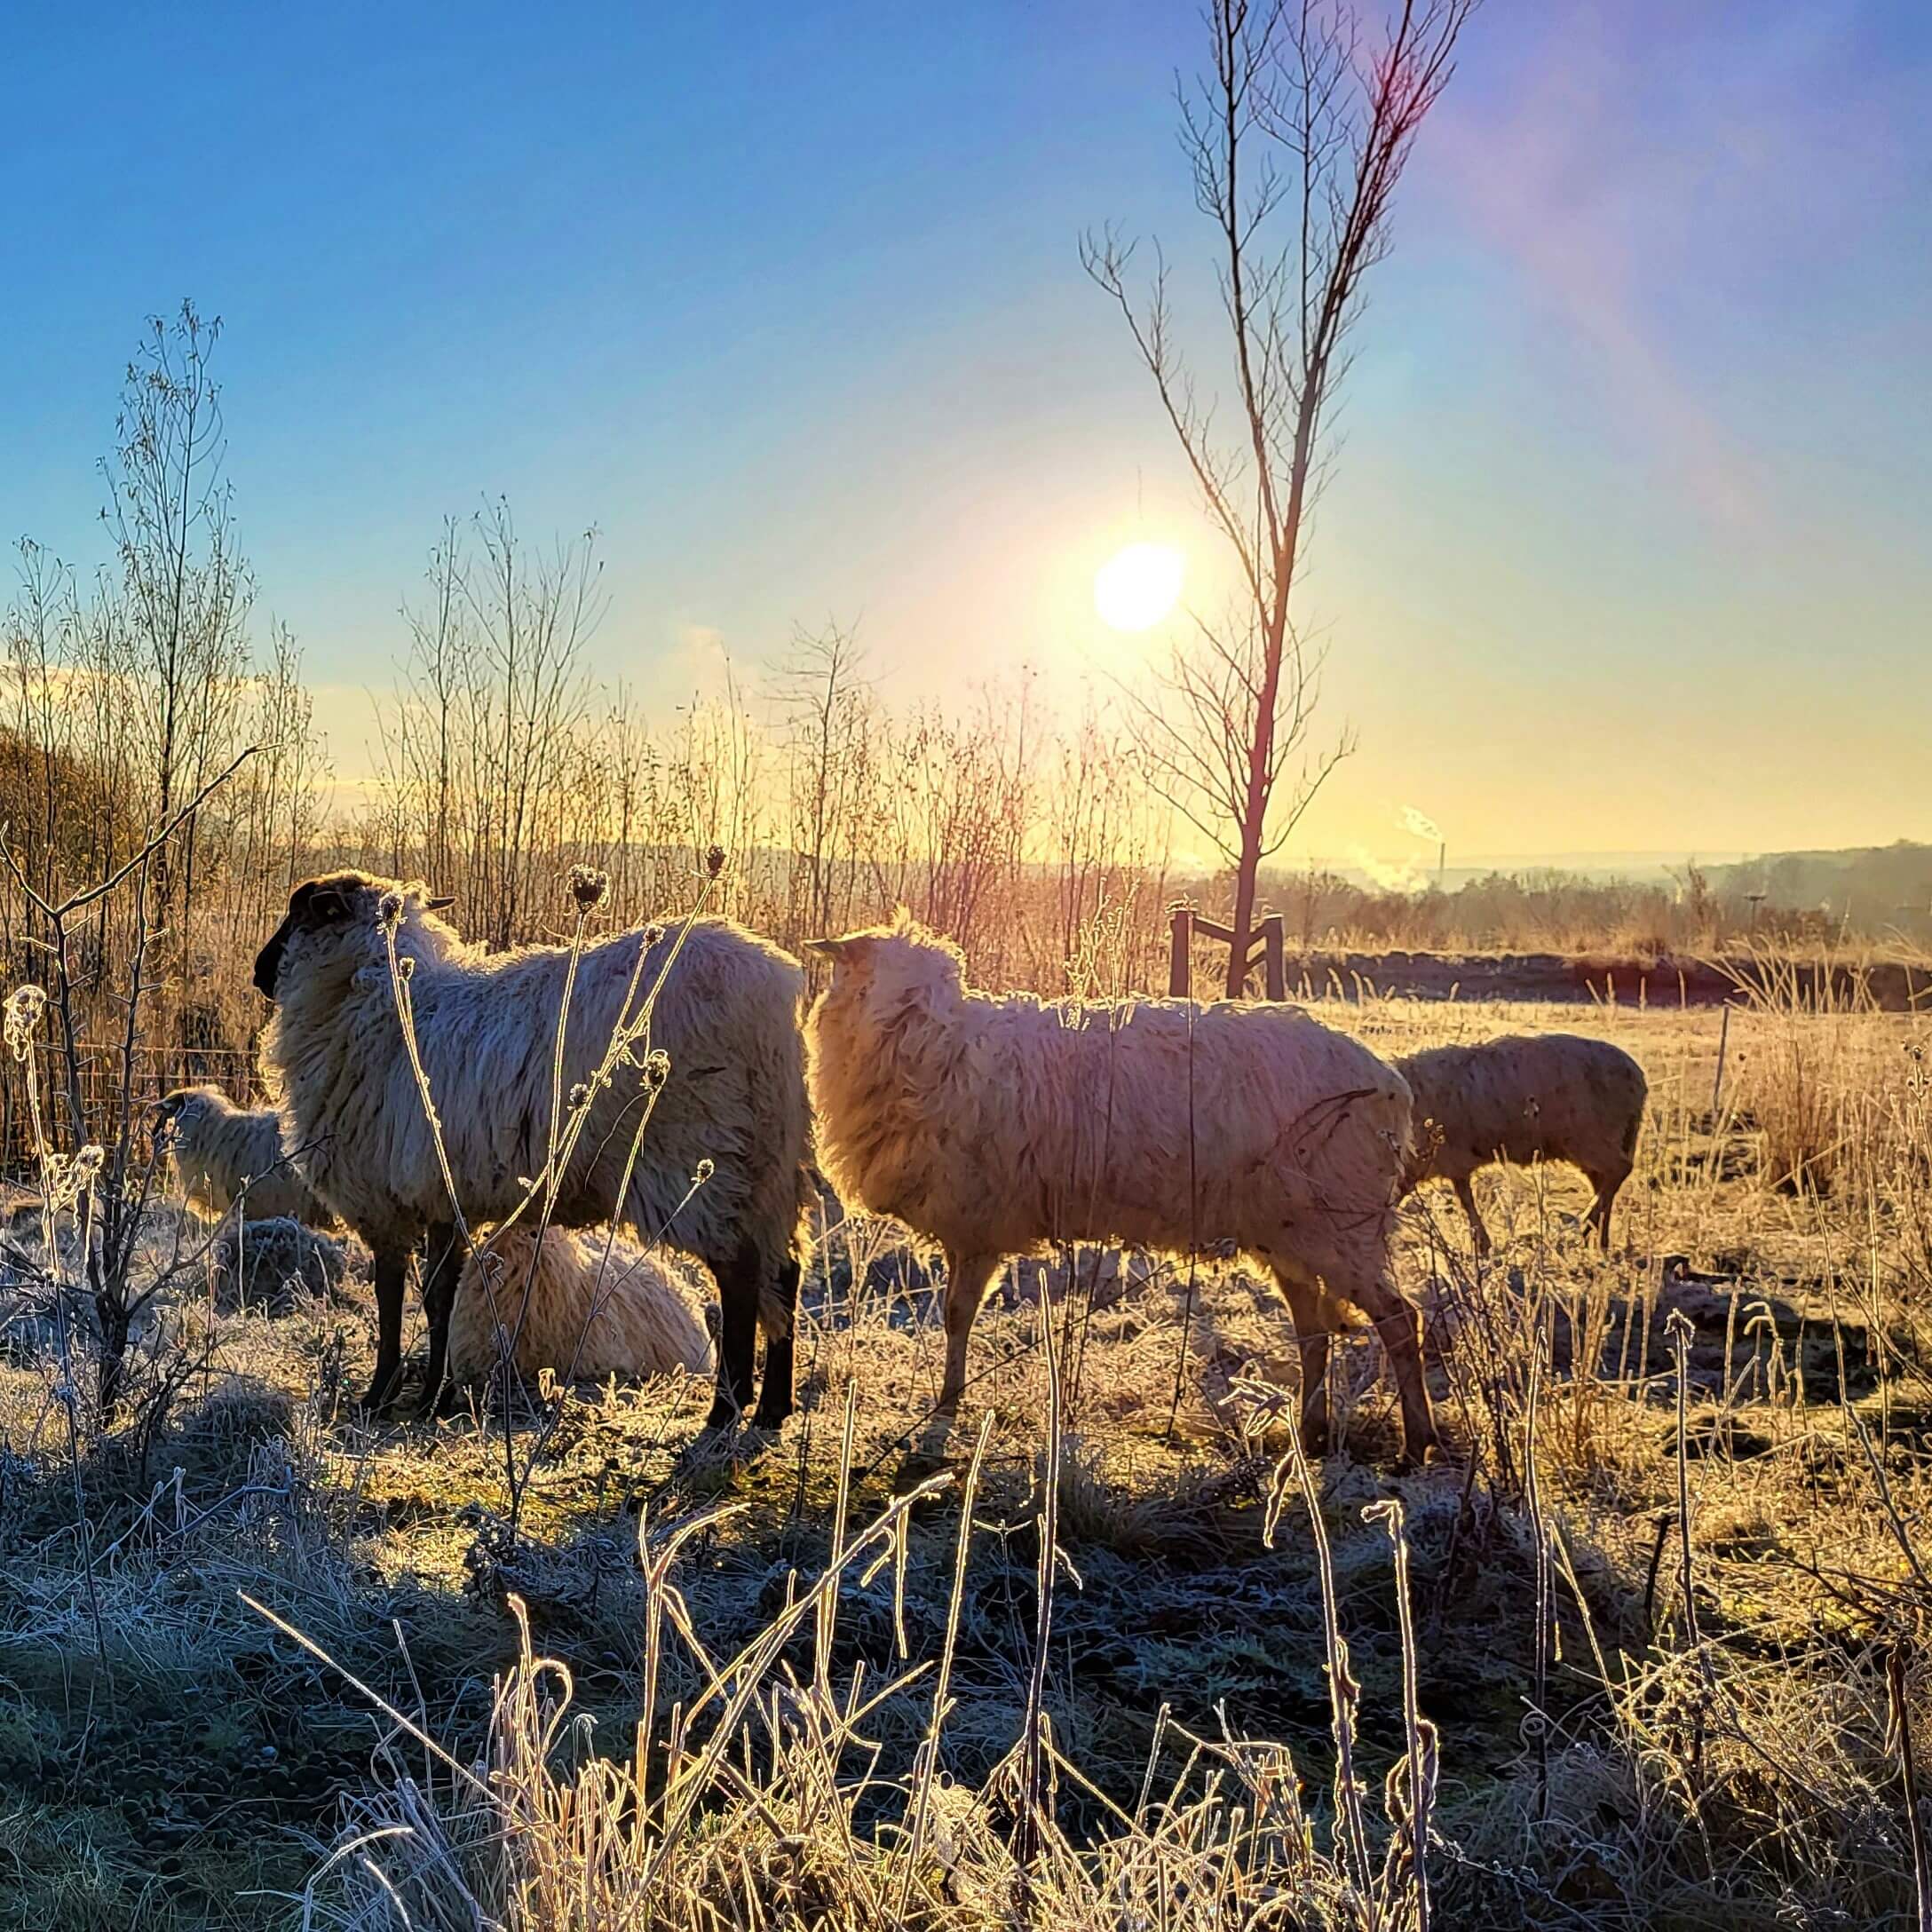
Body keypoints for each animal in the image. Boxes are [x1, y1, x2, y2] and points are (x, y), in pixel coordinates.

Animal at [804, 904, 1437, 1461]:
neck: (924, 1037)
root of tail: (1391, 1084)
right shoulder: (970, 1225)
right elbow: (956, 1315)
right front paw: (947, 1402)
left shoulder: (976, 1220)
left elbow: (958, 1316)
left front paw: (946, 1406)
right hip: (1290, 1230)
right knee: (1313, 1331)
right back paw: (1310, 1432)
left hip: (1339, 1222)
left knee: (1399, 1320)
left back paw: (1418, 1443)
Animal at [1398, 1035, 1653, 1259]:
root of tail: (1637, 1076)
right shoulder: (1447, 1162)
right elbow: (1464, 1197)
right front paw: (1482, 1244)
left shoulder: (1435, 1160)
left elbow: (1462, 1199)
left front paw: (1482, 1245)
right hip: (1598, 1141)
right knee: (1603, 1181)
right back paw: (1600, 1240)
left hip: (1592, 1137)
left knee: (1620, 1169)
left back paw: (1587, 1224)